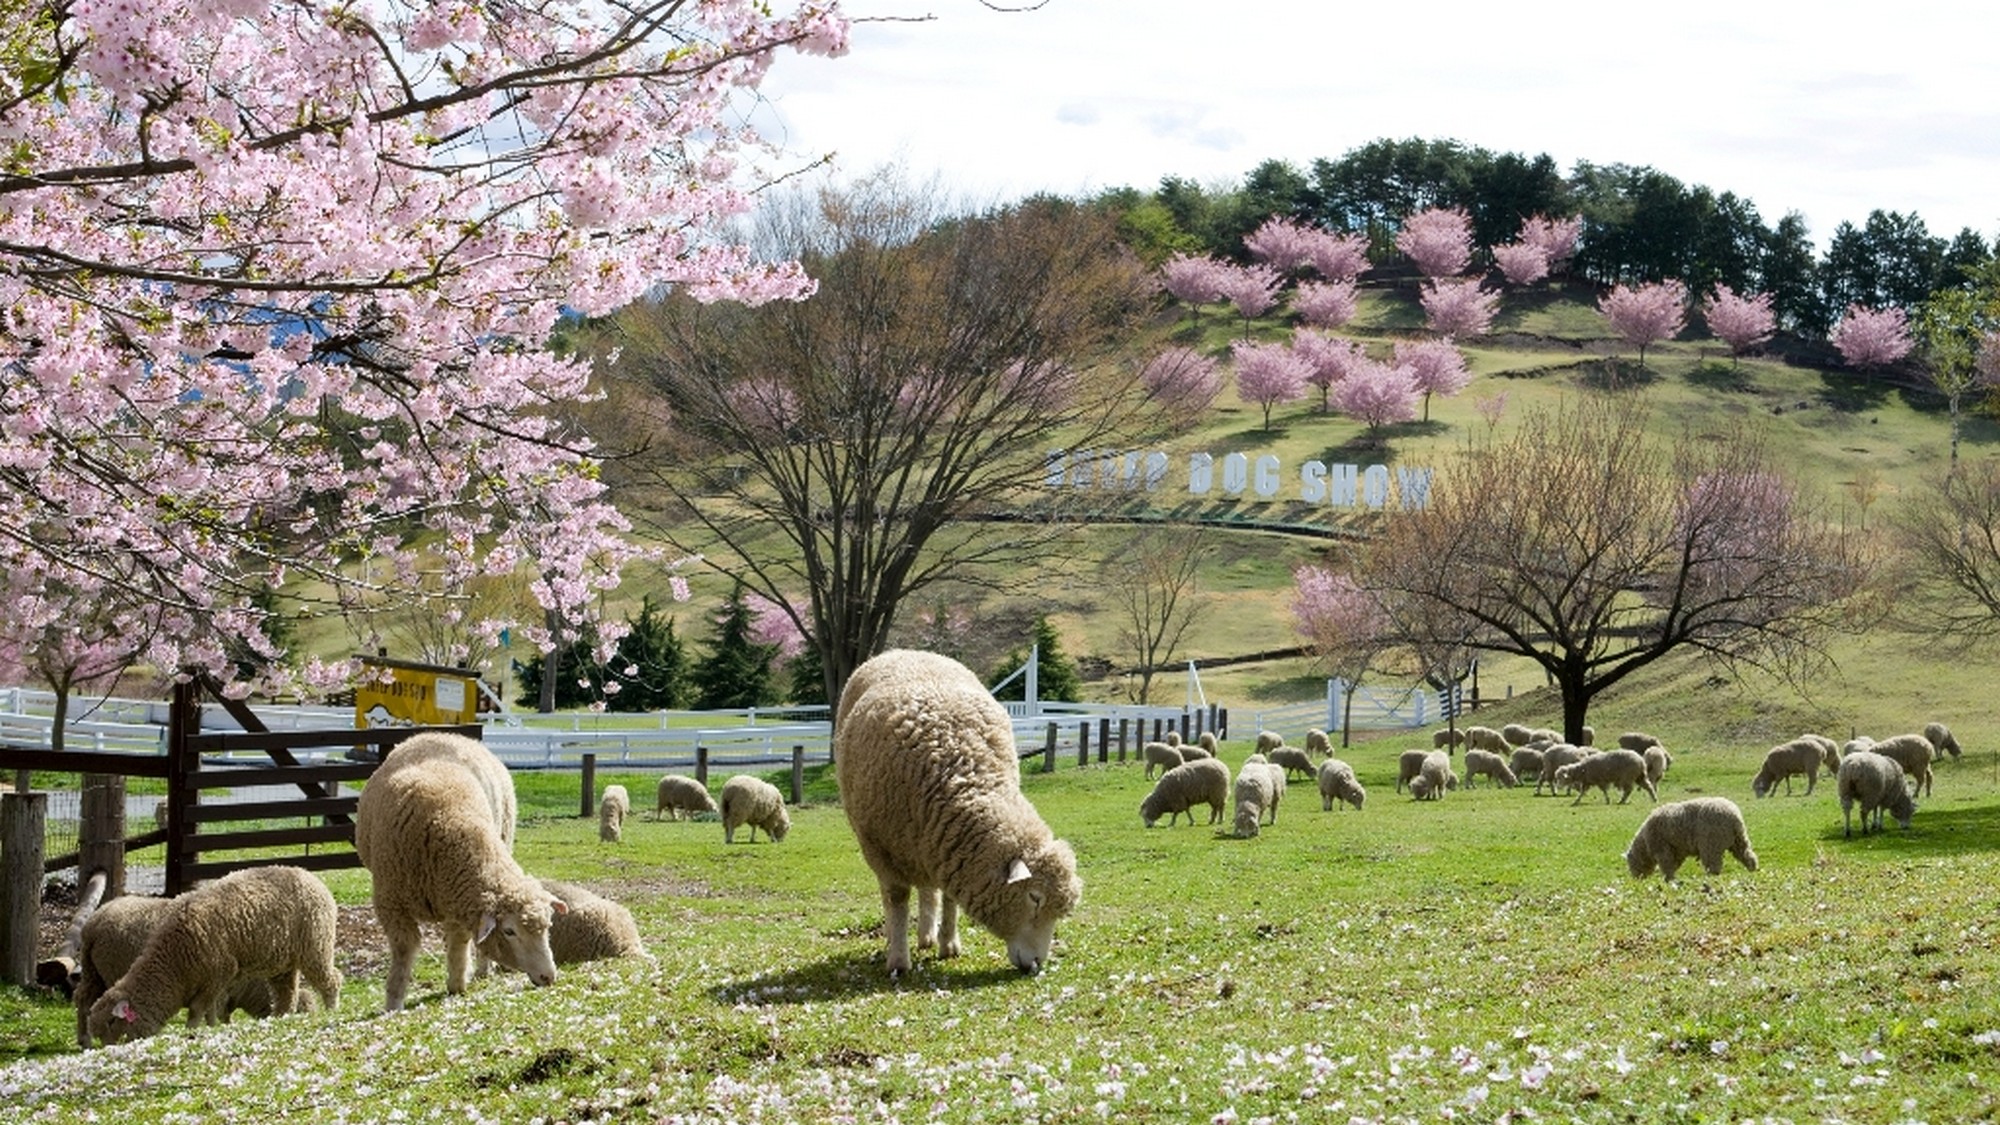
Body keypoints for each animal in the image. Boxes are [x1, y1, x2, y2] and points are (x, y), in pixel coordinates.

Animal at [86, 868, 342, 1040]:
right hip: (283, 962)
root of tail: (310, 876)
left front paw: (193, 1029)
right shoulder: (216, 981)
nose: (108, 1048)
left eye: (112, 1022)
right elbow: (211, 1008)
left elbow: (199, 1009)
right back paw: (282, 1017)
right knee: (287, 993)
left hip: (315, 945)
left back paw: (331, 1009)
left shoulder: (219, 974)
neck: (175, 964)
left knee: (331, 979)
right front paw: (212, 1026)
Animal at [352, 728, 568, 1008]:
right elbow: (404, 950)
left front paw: (456, 984)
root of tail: (448, 734)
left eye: (549, 926)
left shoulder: (458, 901)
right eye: (509, 931)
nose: (548, 976)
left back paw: (482, 970)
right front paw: (394, 1003)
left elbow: (459, 942)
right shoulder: (391, 903)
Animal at [828, 648, 1080, 972]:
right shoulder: (883, 850)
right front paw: (898, 960)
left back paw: (926, 935)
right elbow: (897, 900)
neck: (960, 774)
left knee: (929, 889)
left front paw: (948, 944)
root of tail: (905, 651)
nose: (1036, 964)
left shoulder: (948, 844)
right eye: (1034, 898)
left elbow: (948, 896)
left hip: (923, 843)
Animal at [1616, 792, 1760, 880]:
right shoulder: (1677, 849)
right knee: (1746, 853)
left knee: (1713, 862)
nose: (1636, 879)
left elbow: (1666, 863)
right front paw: (1671, 877)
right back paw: (1752, 868)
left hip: (1711, 841)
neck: (1645, 844)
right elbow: (1674, 863)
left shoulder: (1662, 847)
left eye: (1630, 864)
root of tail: (1734, 817)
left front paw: (1668, 878)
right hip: (1738, 839)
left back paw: (1711, 875)